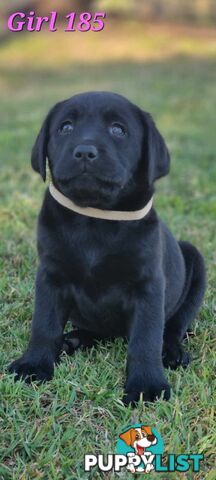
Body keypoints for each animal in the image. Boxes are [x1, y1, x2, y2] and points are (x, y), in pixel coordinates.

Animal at [8, 91, 206, 404]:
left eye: (118, 130)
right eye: (65, 127)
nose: (84, 152)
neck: (95, 218)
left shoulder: (149, 285)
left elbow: (146, 339)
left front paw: (147, 386)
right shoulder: (50, 276)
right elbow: (43, 324)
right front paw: (34, 365)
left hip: (195, 261)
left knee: (174, 326)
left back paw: (171, 352)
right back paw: (75, 339)